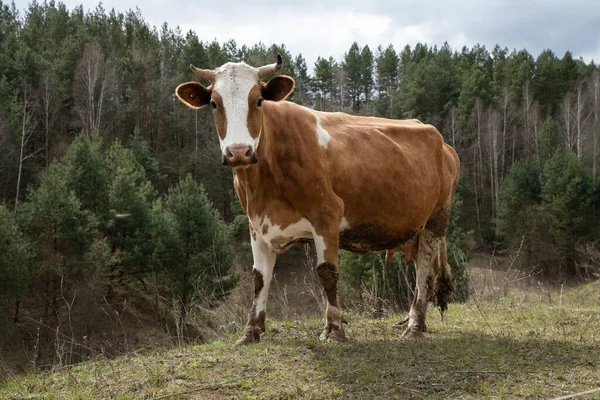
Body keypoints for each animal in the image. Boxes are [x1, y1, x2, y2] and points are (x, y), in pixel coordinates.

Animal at [176, 54, 462, 344]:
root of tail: (442, 142)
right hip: (414, 227)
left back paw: (414, 325)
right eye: (214, 103)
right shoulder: (256, 223)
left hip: (436, 220)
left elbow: (327, 273)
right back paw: (413, 320)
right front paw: (250, 331)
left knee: (424, 269)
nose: (238, 152)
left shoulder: (327, 215)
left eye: (258, 100)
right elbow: (259, 278)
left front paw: (334, 328)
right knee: (420, 267)